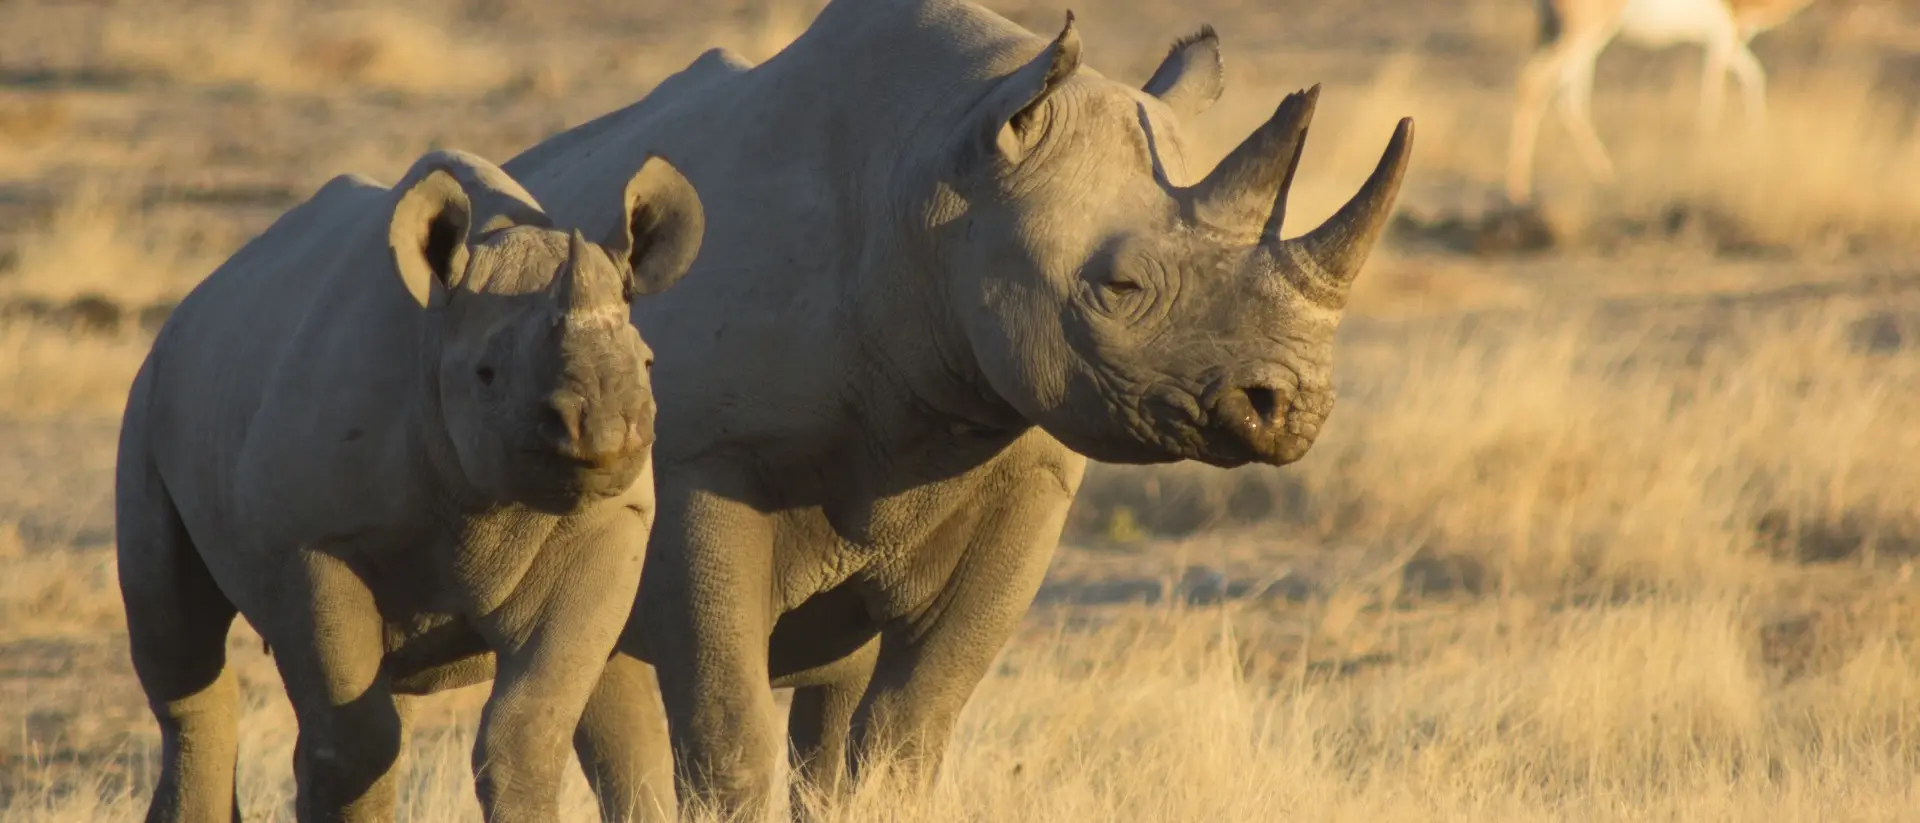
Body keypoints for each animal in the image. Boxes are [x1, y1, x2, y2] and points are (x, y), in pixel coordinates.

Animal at [114, 149, 703, 822]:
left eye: (649, 363)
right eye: (485, 375)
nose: (603, 429)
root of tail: (194, 302)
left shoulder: (608, 523)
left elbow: (529, 728)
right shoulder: (311, 542)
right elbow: (356, 743)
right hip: (150, 394)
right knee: (182, 651)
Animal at [503, 0, 1413, 819]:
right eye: (1119, 288)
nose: (1292, 407)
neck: (936, 183)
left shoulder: (1028, 467)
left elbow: (910, 727)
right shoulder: (703, 462)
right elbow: (726, 728)